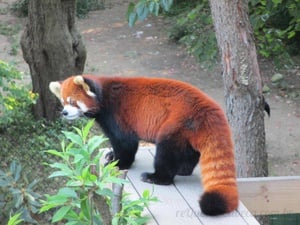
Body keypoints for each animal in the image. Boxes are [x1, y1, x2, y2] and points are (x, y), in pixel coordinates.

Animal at [49, 74, 239, 215]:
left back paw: (156, 177)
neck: (104, 95)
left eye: (72, 101)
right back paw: (183, 169)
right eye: (63, 102)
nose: (64, 112)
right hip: (187, 131)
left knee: (166, 153)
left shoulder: (118, 115)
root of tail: (210, 108)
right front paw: (111, 155)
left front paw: (118, 162)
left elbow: (125, 143)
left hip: (177, 123)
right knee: (189, 153)